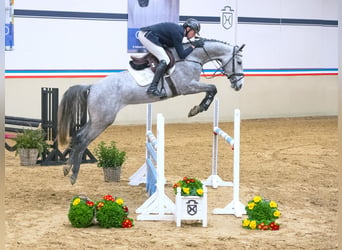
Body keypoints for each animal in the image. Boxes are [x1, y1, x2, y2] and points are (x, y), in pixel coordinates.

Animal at [59, 38, 246, 185]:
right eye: (239, 62)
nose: (239, 85)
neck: (191, 58)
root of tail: (92, 87)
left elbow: (211, 89)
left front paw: (196, 108)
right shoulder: (187, 86)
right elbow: (212, 88)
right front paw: (197, 109)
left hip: (96, 119)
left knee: (77, 136)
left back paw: (67, 168)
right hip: (103, 120)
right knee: (84, 139)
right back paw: (73, 174)